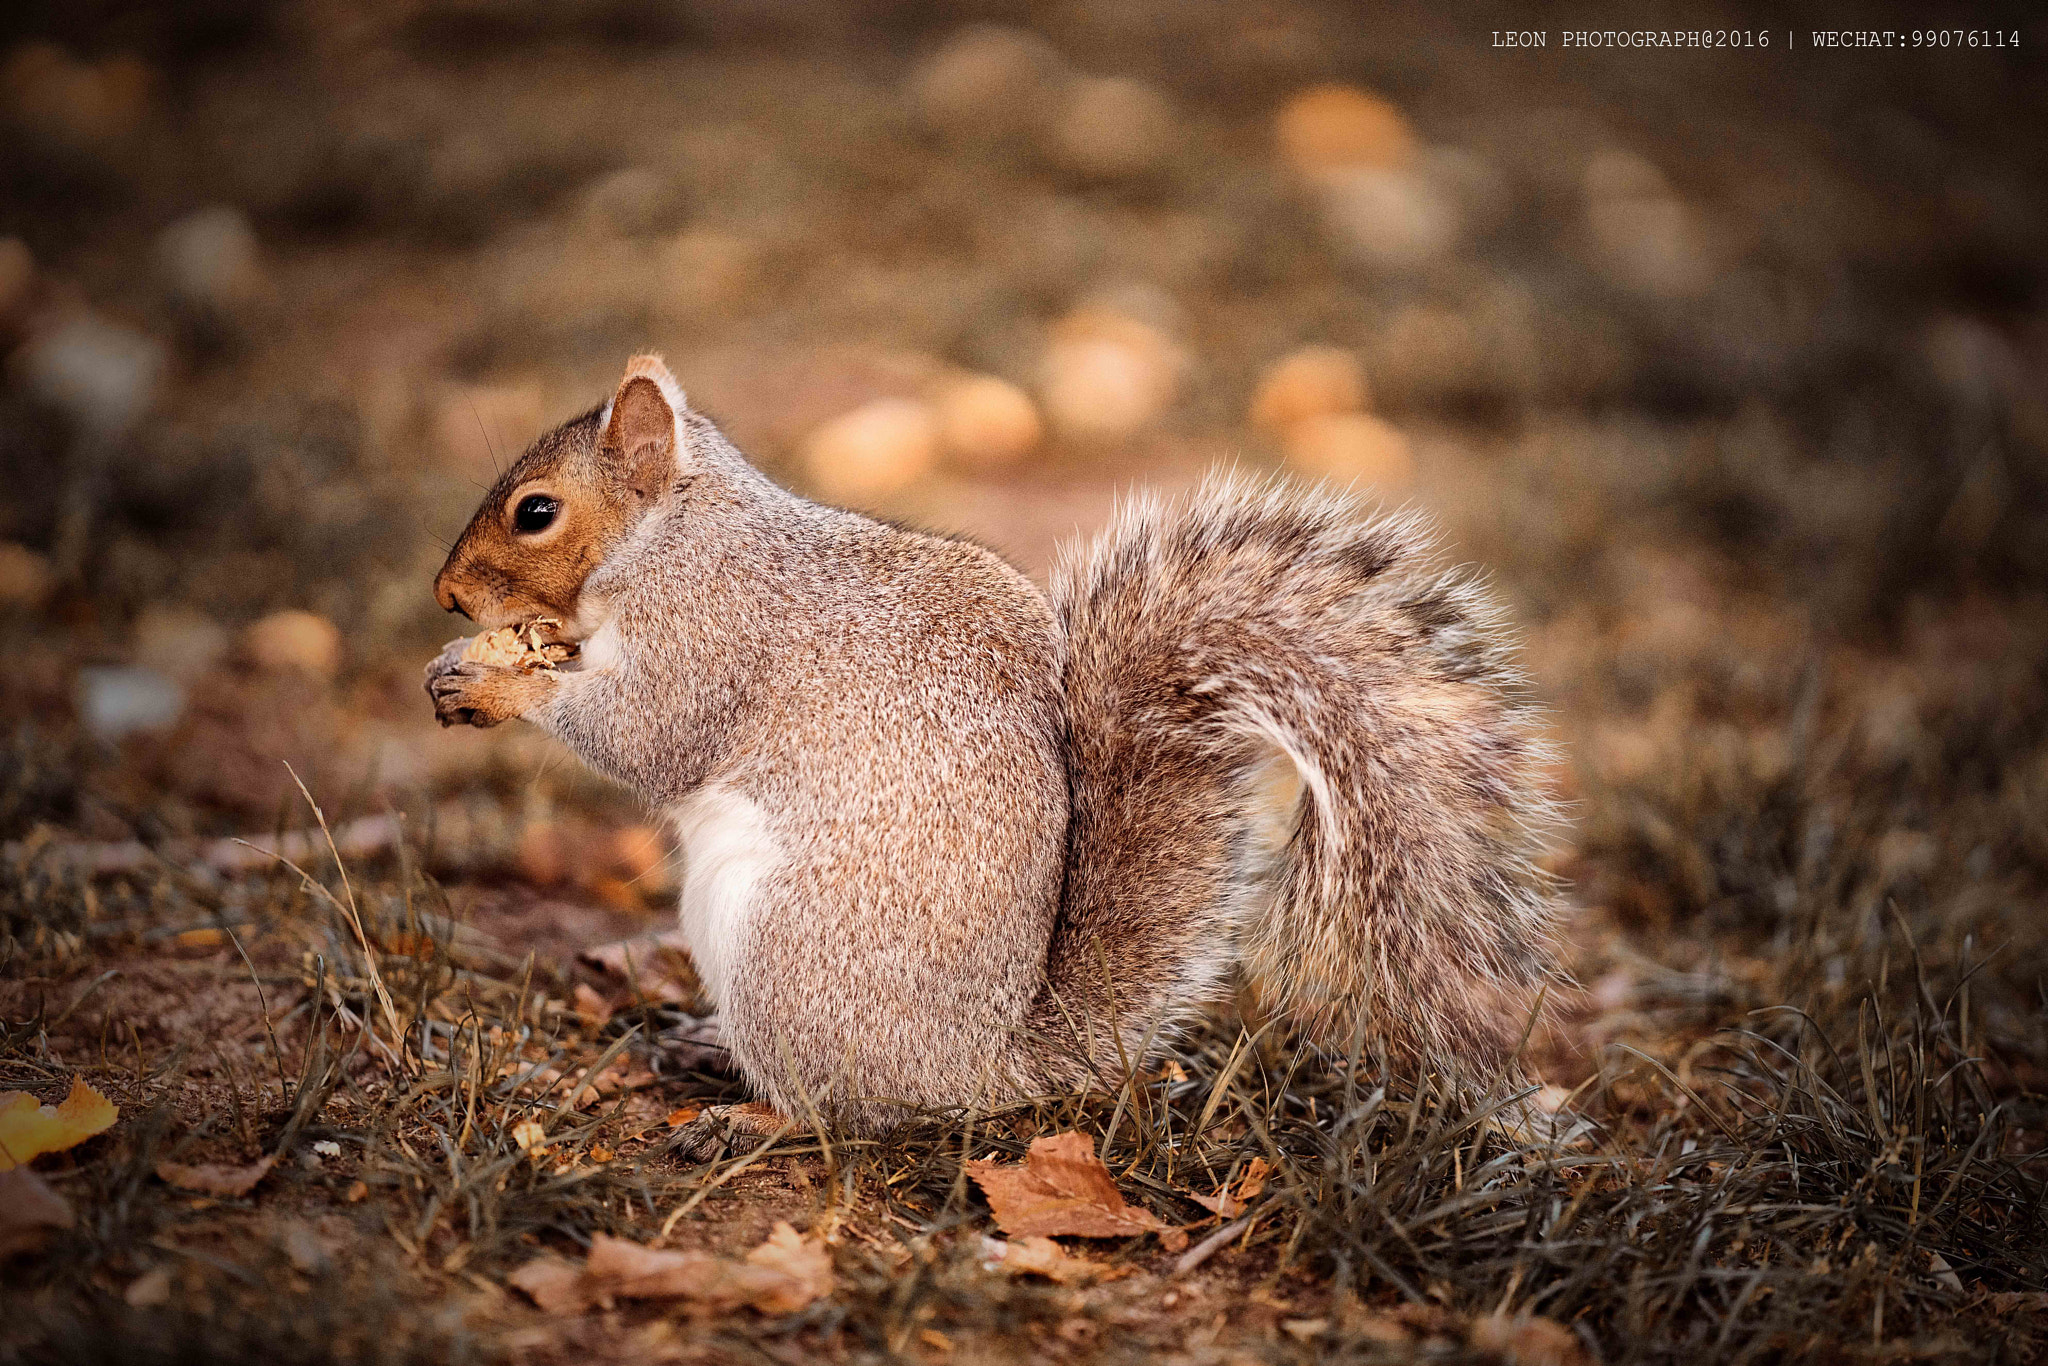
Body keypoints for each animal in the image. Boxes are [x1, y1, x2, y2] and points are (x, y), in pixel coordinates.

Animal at [423, 356, 1556, 1155]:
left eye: (535, 511)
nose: (446, 596)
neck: (673, 533)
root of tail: (982, 1068)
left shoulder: (711, 632)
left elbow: (647, 731)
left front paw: (497, 683)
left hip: (783, 955)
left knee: (842, 1111)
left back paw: (752, 1117)